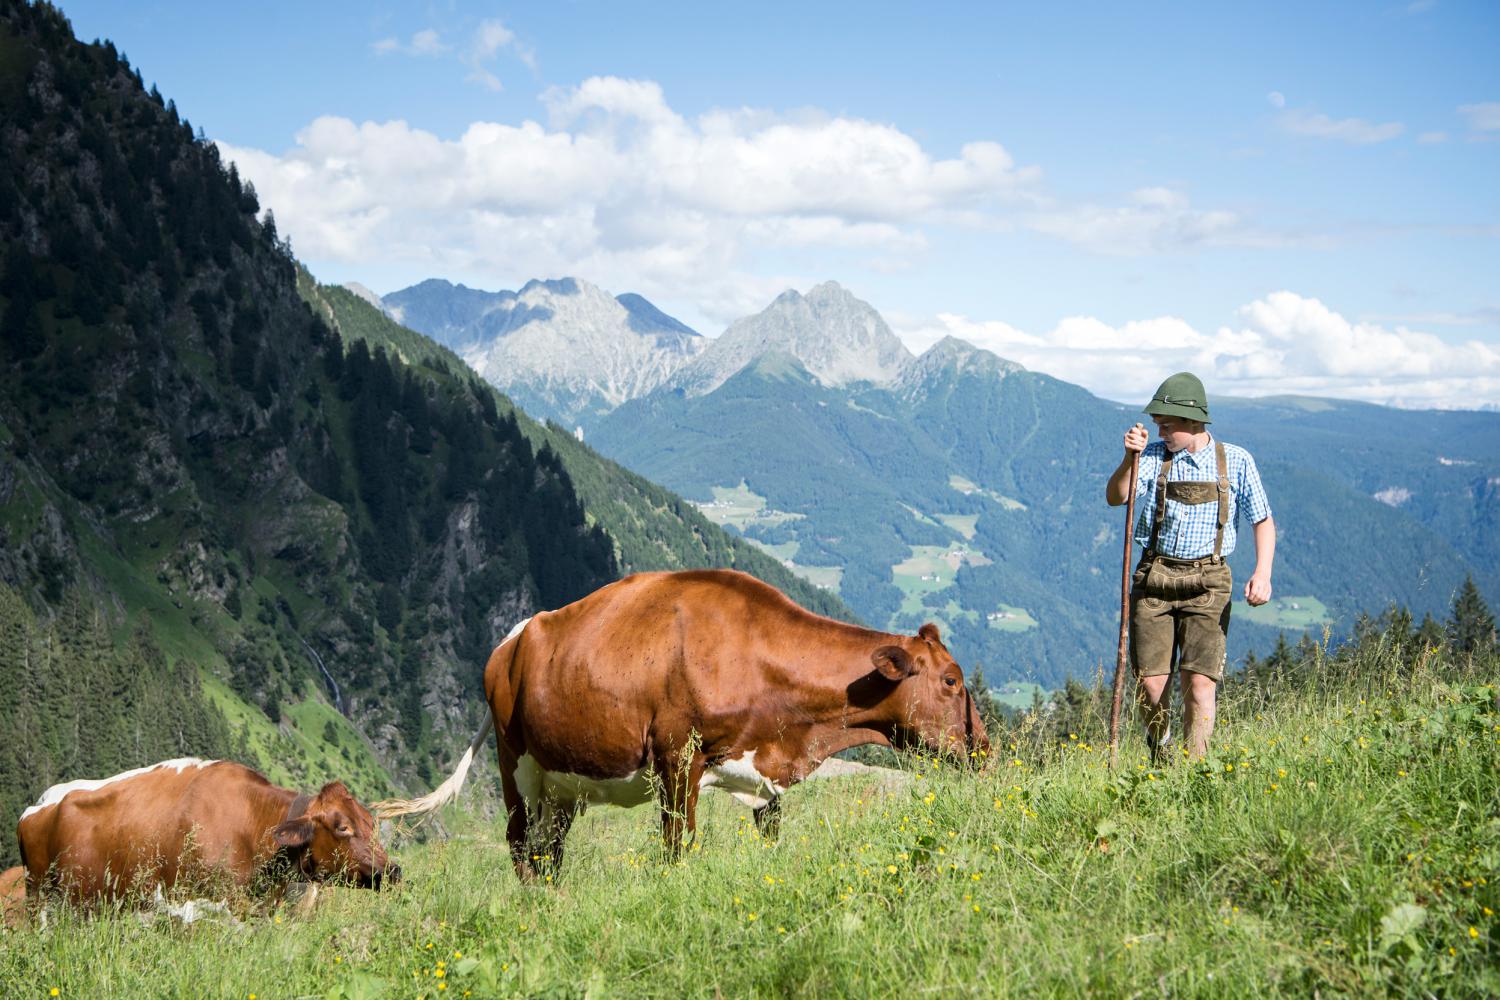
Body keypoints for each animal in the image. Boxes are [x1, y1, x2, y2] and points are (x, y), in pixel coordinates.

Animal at [375, 566, 990, 881]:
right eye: (952, 681)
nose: (985, 750)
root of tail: (515, 637)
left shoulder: (763, 779)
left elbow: (770, 844)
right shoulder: (677, 759)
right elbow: (677, 848)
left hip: (562, 785)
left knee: (550, 853)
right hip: (517, 769)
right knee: (522, 847)